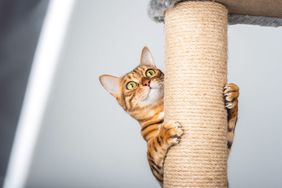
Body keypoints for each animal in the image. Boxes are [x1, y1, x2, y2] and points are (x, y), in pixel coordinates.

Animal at [98, 46, 238, 185]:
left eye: (149, 72)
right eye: (131, 85)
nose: (147, 82)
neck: (161, 108)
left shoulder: (224, 148)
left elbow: (231, 124)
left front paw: (233, 94)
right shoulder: (159, 172)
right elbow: (155, 144)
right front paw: (167, 131)